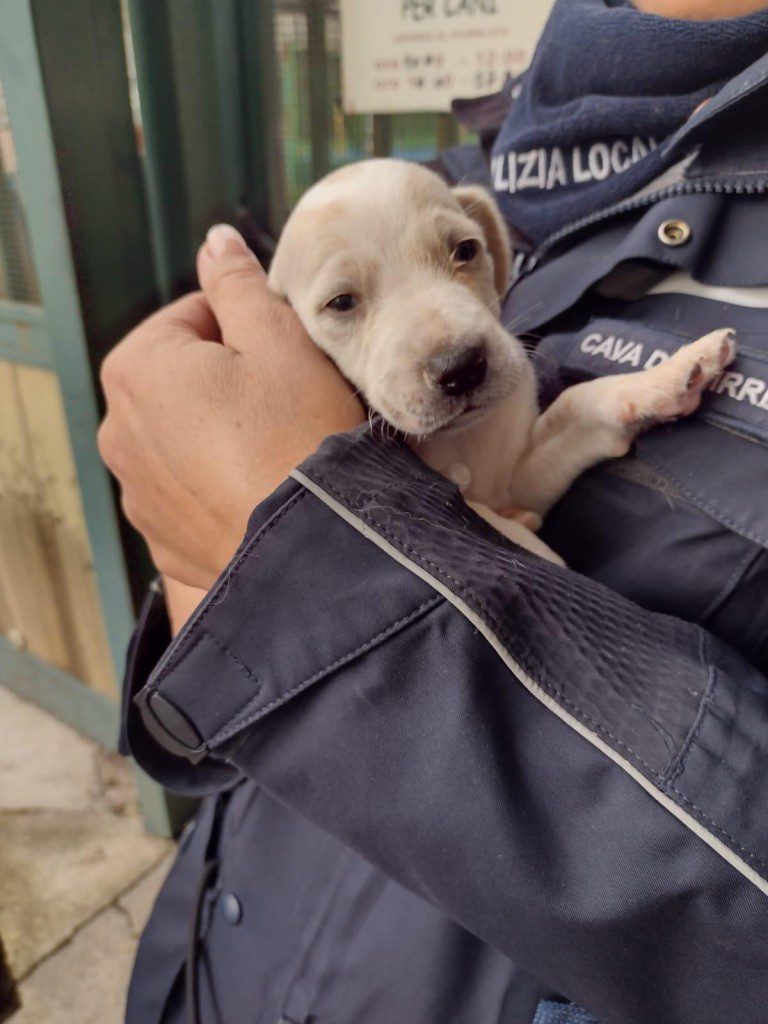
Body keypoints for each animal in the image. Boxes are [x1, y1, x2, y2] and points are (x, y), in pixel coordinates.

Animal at [268, 159, 733, 565]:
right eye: (341, 303)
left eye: (466, 250)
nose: (459, 367)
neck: (464, 442)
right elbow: (487, 517)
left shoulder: (520, 479)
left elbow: (579, 404)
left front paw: (673, 374)